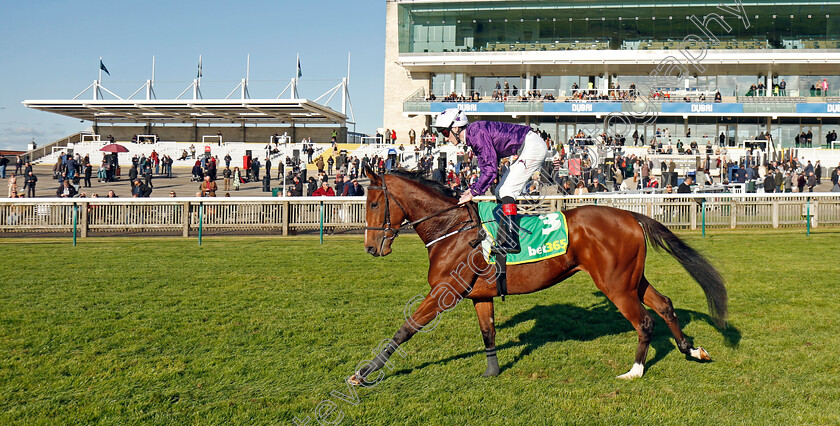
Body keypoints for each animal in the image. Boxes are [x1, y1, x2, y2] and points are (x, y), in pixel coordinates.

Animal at [352, 167, 724, 386]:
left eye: (374, 204)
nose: (370, 247)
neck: (452, 230)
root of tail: (631, 216)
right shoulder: (479, 295)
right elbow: (488, 333)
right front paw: (492, 371)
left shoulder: (445, 292)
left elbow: (405, 329)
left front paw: (363, 373)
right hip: (632, 279)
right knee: (665, 305)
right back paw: (691, 350)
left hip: (616, 285)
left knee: (644, 321)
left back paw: (634, 371)